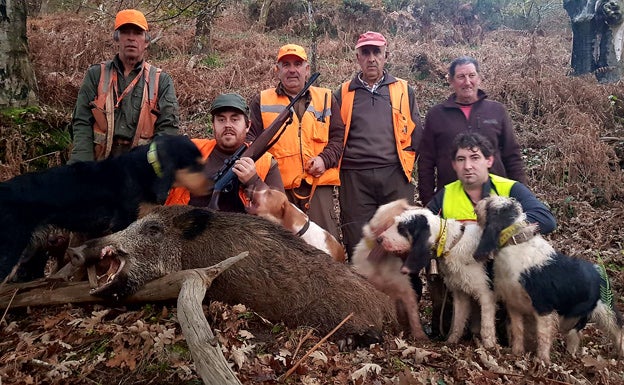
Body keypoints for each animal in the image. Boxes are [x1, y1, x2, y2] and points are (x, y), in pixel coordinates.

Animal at [472, 196, 624, 362]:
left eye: (489, 204)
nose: (477, 204)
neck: (514, 243)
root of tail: (598, 270)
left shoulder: (543, 307)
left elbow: (542, 336)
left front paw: (542, 361)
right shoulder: (513, 305)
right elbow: (517, 330)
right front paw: (516, 353)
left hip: (606, 311)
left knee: (618, 330)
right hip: (573, 317)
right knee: (575, 334)